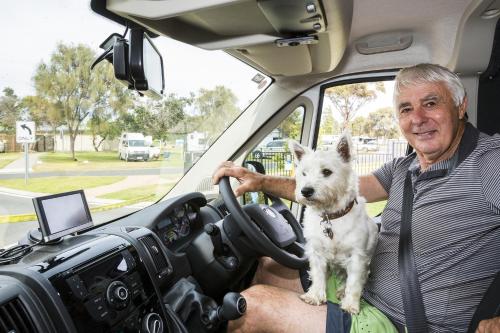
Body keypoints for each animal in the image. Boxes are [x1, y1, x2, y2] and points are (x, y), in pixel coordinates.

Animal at [290, 133, 378, 314]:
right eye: (304, 173)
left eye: (327, 172)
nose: (305, 191)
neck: (331, 216)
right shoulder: (316, 252)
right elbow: (318, 275)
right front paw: (314, 296)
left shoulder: (357, 257)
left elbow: (354, 283)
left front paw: (351, 305)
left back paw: (342, 292)